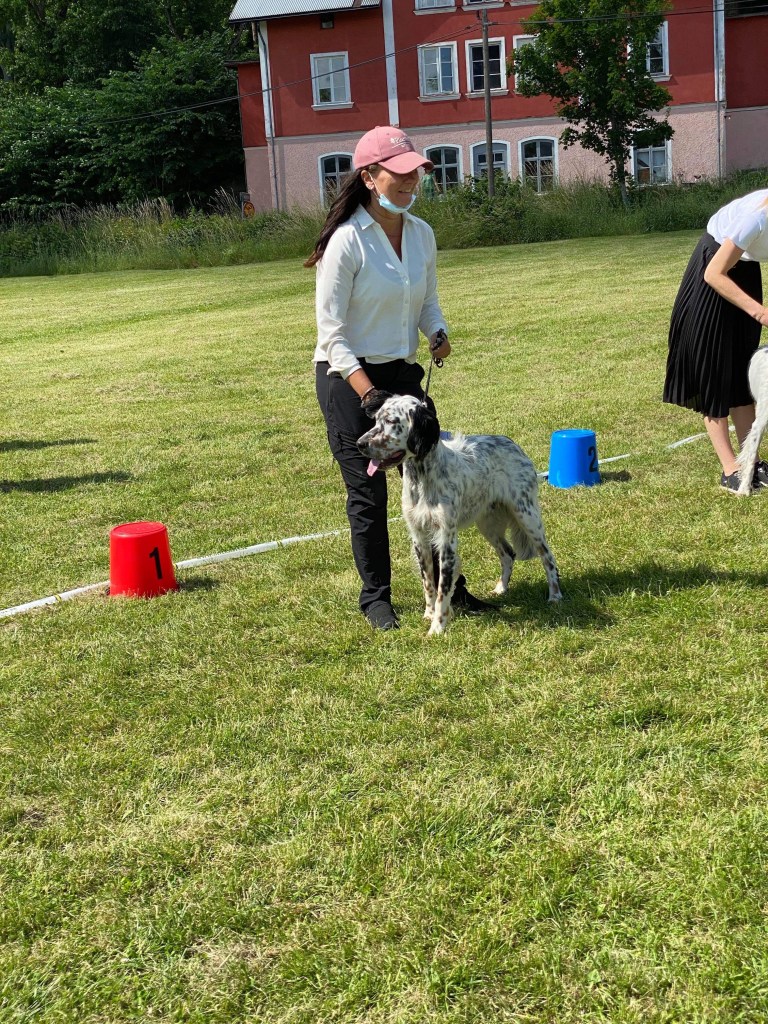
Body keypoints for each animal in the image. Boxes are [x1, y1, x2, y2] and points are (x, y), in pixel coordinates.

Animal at [357, 394, 562, 635]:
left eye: (390, 421)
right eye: (376, 420)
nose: (360, 444)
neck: (422, 479)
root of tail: (513, 444)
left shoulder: (446, 539)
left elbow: (443, 588)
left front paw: (437, 627)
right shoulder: (419, 537)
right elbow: (429, 583)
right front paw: (429, 614)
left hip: (527, 516)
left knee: (547, 556)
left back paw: (555, 595)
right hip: (488, 524)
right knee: (508, 554)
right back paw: (501, 588)